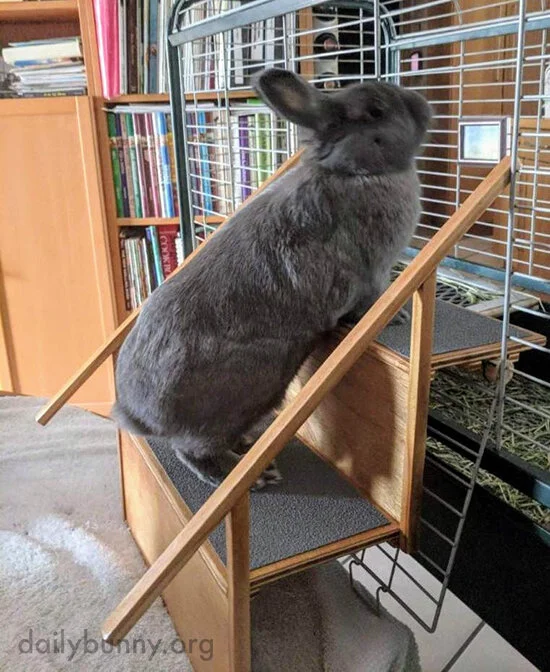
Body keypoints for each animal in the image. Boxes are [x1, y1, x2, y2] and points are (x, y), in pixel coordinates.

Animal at [113, 68, 432, 489]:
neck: (352, 171)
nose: (424, 105)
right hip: (243, 397)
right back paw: (250, 474)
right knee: (194, 451)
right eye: (377, 109)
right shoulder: (372, 275)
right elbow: (367, 300)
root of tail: (137, 416)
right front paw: (398, 317)